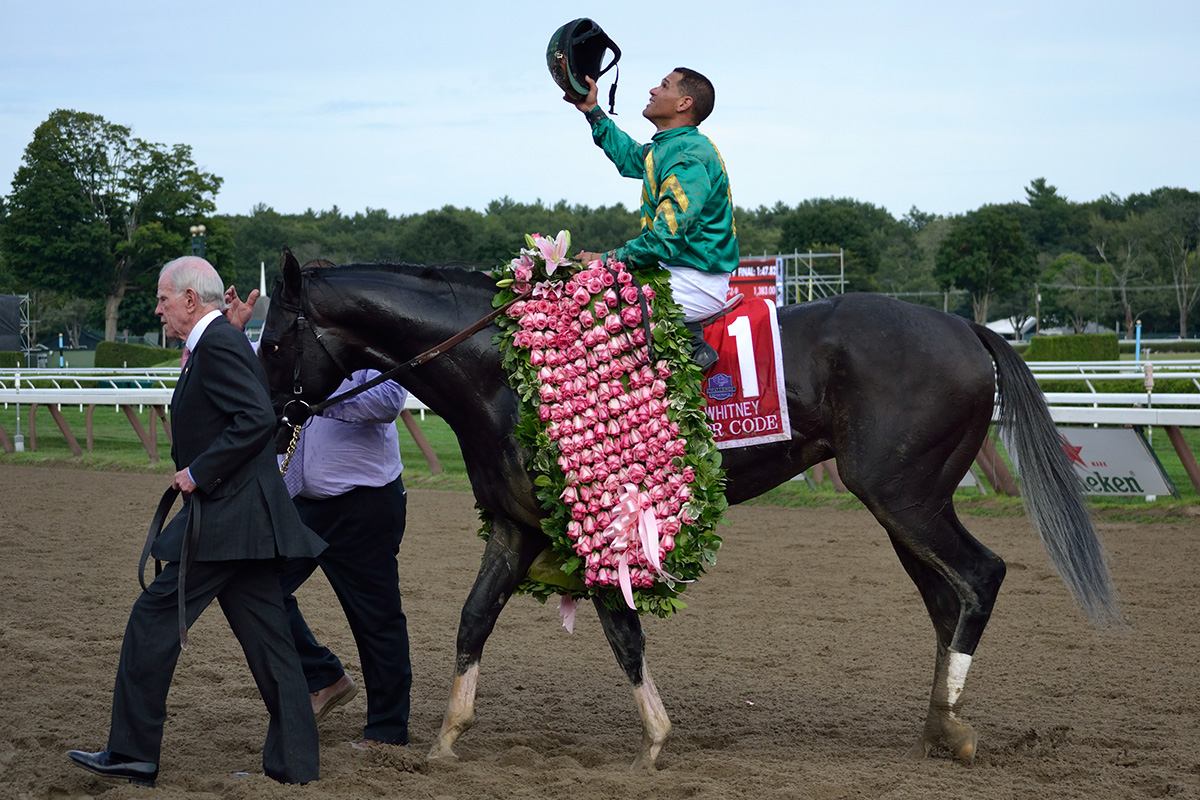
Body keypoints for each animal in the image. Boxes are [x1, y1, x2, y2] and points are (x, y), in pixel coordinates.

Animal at [258, 248, 1118, 767]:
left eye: (269, 338)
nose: (267, 418)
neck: (503, 370)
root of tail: (966, 327)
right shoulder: (514, 526)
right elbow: (472, 620)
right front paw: (445, 739)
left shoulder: (598, 521)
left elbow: (623, 634)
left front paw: (655, 740)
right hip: (906, 503)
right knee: (949, 597)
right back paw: (941, 724)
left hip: (902, 493)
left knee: (982, 575)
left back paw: (953, 724)